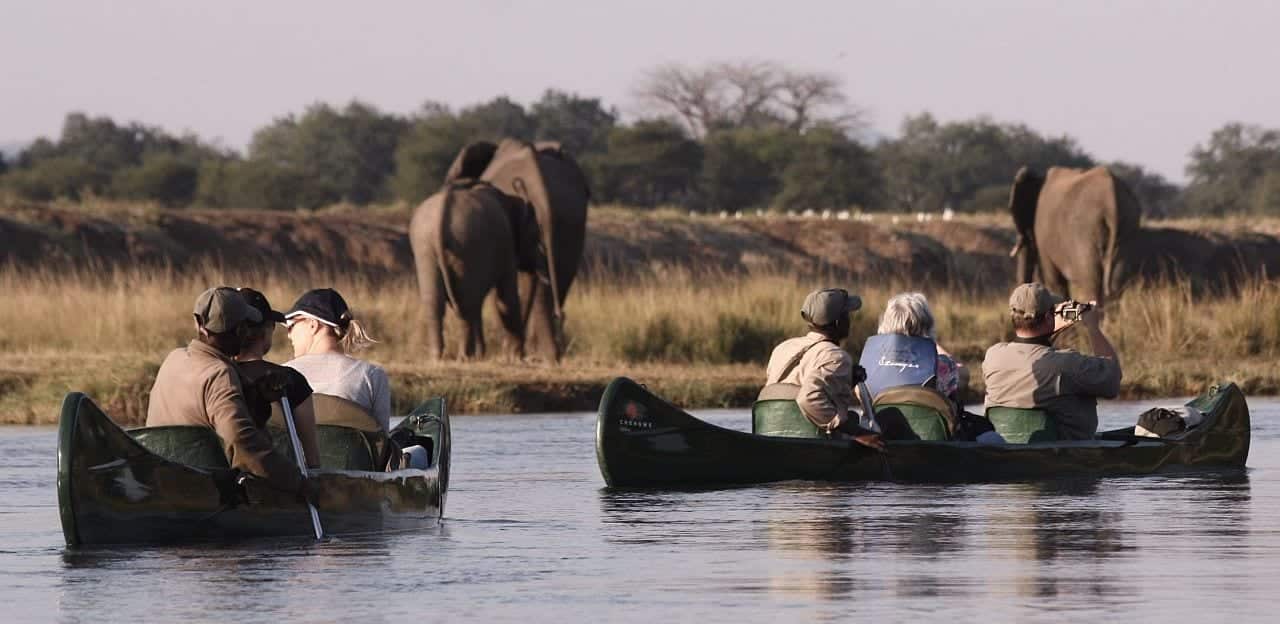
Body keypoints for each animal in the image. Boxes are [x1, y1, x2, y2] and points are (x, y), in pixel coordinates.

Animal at [409, 152, 540, 360]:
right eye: (535, 237)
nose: (521, 352)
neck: (510, 199)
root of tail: (441, 217)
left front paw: (484, 355)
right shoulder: (505, 245)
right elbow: (506, 298)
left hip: (425, 247)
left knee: (437, 301)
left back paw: (438, 356)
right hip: (465, 242)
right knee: (466, 301)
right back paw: (464, 356)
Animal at [1008, 166, 1141, 309]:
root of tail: (1111, 204)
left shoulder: (1043, 235)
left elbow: (1055, 282)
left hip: (1085, 233)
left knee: (1091, 284)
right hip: (1126, 227)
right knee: (1116, 285)